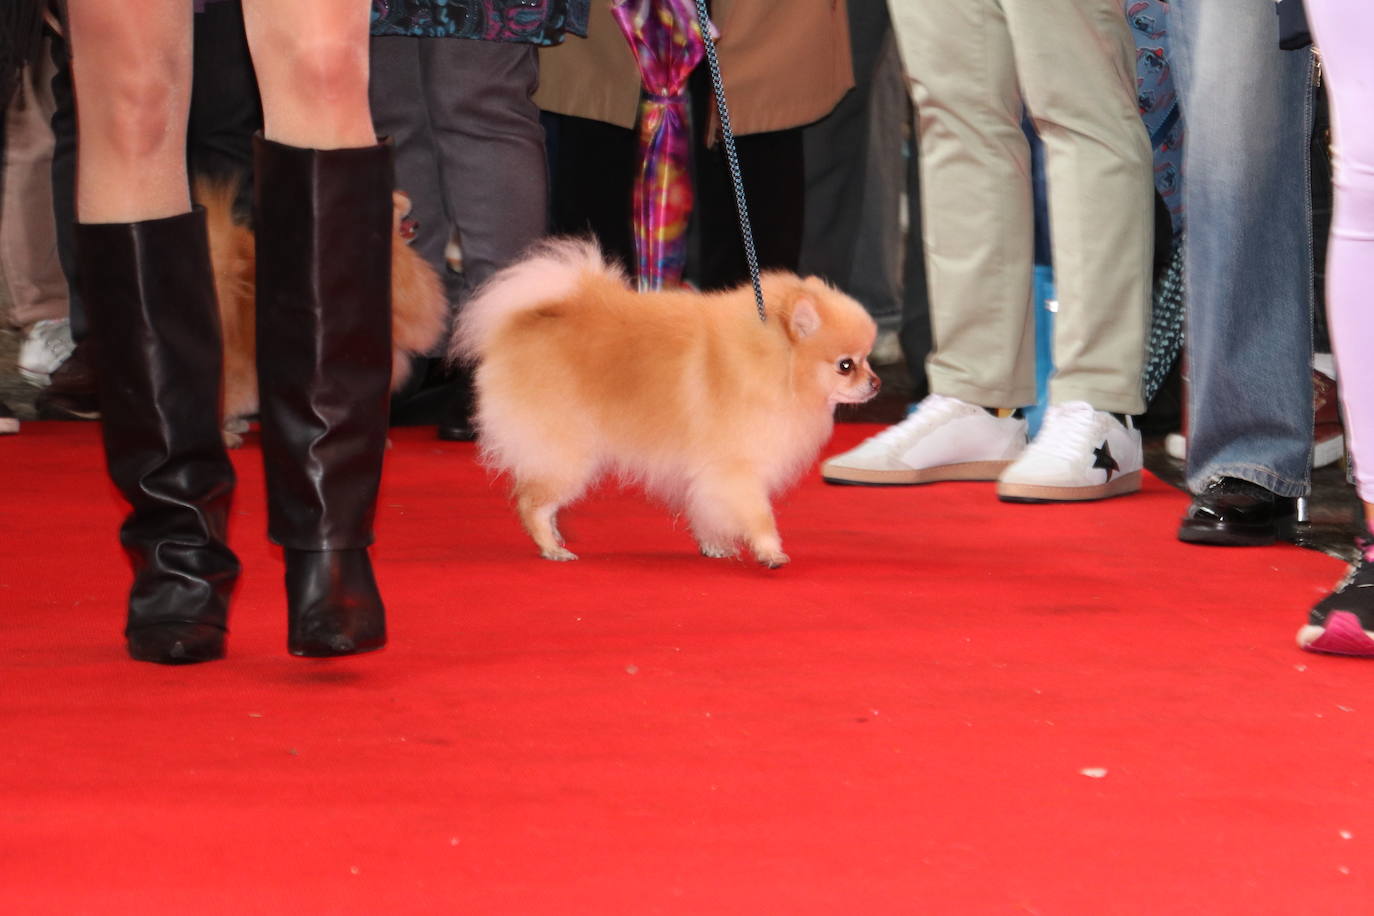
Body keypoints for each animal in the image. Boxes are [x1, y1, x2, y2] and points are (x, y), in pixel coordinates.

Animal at [450, 238, 879, 565]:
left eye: (867, 359)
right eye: (846, 366)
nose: (875, 383)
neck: (773, 362)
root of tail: (517, 326)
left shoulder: (709, 474)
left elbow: (708, 511)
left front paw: (714, 546)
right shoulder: (736, 468)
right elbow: (759, 515)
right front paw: (770, 551)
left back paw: (556, 539)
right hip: (568, 453)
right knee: (531, 503)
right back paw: (551, 548)